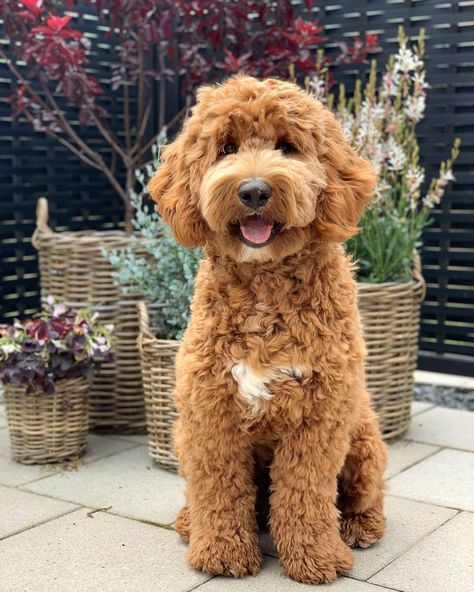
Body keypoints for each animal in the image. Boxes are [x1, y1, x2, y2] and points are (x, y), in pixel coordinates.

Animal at [150, 73, 386, 584]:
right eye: (225, 147)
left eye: (288, 146)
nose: (254, 191)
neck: (264, 291)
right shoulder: (209, 413)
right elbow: (219, 488)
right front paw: (221, 553)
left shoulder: (319, 417)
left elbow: (306, 492)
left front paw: (316, 556)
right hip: (182, 438)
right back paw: (190, 521)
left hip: (363, 440)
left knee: (366, 496)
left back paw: (358, 529)